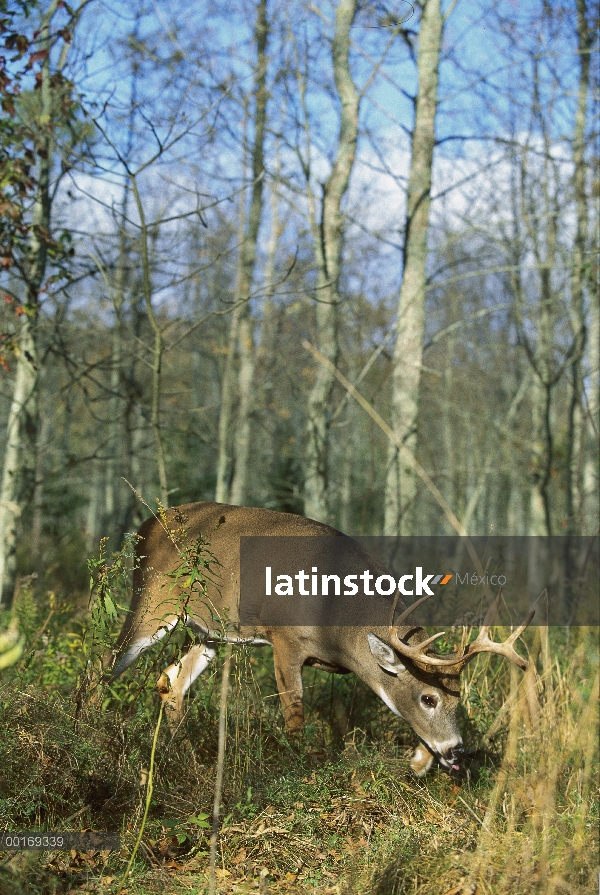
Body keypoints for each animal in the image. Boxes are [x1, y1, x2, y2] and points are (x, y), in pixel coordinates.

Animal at [105, 504, 532, 776]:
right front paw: (296, 769)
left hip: (207, 630)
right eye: (428, 698)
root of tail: (144, 527)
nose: (457, 749)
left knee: (170, 681)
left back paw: (178, 752)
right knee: (108, 662)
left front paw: (419, 762)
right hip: (152, 602)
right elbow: (294, 716)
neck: (337, 627)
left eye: (459, 698)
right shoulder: (285, 639)